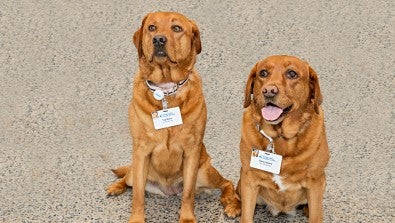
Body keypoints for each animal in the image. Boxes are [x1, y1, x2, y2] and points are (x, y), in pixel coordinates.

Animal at [105, 12, 240, 223]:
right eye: (151, 27)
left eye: (176, 28)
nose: (158, 39)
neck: (166, 89)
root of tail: (167, 191)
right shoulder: (141, 151)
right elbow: (137, 196)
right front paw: (137, 218)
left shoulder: (191, 151)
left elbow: (188, 193)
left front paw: (187, 218)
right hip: (136, 171)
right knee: (127, 177)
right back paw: (116, 186)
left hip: (204, 172)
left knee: (227, 182)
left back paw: (230, 202)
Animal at [229, 55, 332, 223]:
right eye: (263, 73)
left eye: (292, 74)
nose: (269, 91)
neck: (278, 137)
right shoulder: (250, 178)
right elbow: (246, 215)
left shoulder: (315, 180)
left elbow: (316, 215)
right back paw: (234, 206)